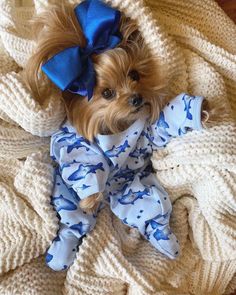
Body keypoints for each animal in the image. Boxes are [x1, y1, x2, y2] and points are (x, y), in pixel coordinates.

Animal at [24, 1, 225, 215]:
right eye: (107, 93)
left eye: (134, 75)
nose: (137, 99)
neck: (118, 126)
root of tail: (112, 196)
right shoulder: (72, 141)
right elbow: (82, 158)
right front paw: (90, 200)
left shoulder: (150, 131)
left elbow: (167, 121)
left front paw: (203, 111)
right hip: (63, 192)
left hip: (141, 194)